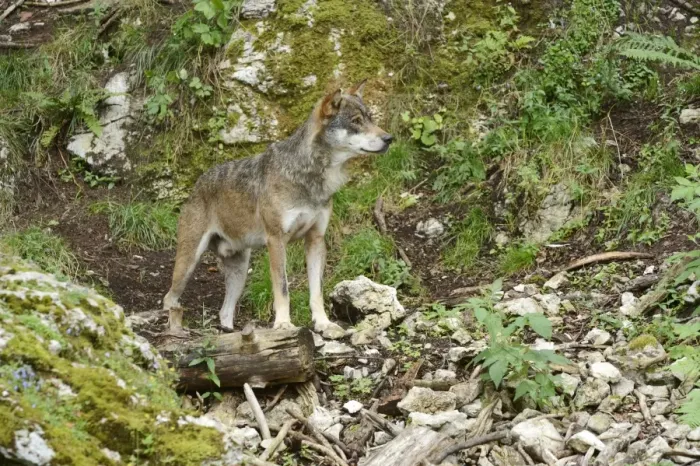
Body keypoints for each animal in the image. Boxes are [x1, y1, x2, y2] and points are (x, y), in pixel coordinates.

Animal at [163, 81, 393, 338]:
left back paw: (230, 334)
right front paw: (283, 325)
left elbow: (317, 292)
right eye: (355, 121)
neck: (310, 175)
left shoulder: (316, 240)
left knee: (225, 311)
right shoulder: (276, 241)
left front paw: (323, 324)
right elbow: (282, 289)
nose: (389, 138)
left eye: (370, 118)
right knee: (169, 299)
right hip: (188, 263)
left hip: (239, 272)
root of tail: (198, 183)